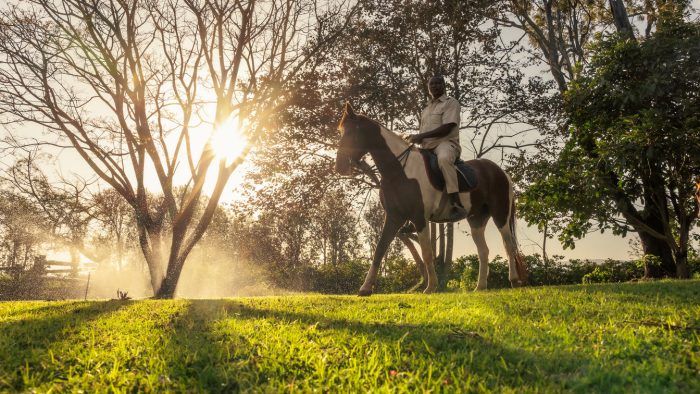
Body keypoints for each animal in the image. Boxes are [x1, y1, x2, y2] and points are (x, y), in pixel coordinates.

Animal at [334, 101, 524, 296]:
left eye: (352, 133)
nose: (340, 166)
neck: (400, 171)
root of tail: (500, 171)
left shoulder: (419, 217)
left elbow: (426, 252)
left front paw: (431, 286)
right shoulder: (394, 217)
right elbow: (380, 249)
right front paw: (365, 288)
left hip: (500, 214)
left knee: (508, 245)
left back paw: (514, 281)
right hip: (476, 219)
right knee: (483, 251)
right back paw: (480, 287)